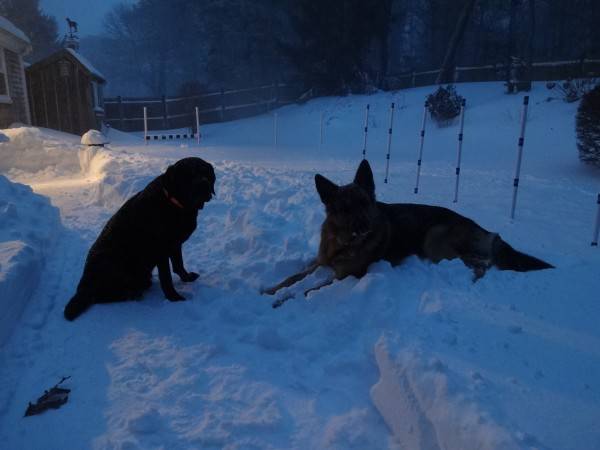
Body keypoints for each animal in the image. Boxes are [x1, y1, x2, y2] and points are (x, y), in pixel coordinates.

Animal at [65, 157, 216, 320]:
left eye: (206, 173)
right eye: (188, 175)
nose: (204, 185)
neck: (174, 203)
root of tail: (83, 287)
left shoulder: (175, 244)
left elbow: (179, 265)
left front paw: (187, 278)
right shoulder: (161, 250)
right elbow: (166, 278)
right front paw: (174, 298)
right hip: (114, 263)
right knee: (99, 296)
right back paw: (132, 293)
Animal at [264, 159, 552, 306]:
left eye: (364, 203)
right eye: (344, 209)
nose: (364, 227)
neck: (344, 243)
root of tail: (484, 229)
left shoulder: (347, 276)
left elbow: (305, 291)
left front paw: (282, 300)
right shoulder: (320, 262)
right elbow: (292, 277)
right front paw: (269, 289)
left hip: (434, 241)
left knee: (484, 262)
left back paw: (471, 279)